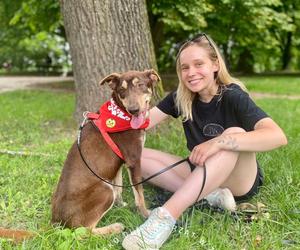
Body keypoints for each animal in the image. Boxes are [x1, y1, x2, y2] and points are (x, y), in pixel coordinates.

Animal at [50, 70, 161, 234]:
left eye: (140, 85)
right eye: (121, 90)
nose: (133, 110)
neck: (121, 114)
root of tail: (56, 222)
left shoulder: (119, 163)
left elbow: (119, 187)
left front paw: (121, 205)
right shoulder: (133, 161)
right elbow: (139, 194)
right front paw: (146, 214)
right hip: (104, 190)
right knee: (85, 232)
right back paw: (115, 227)